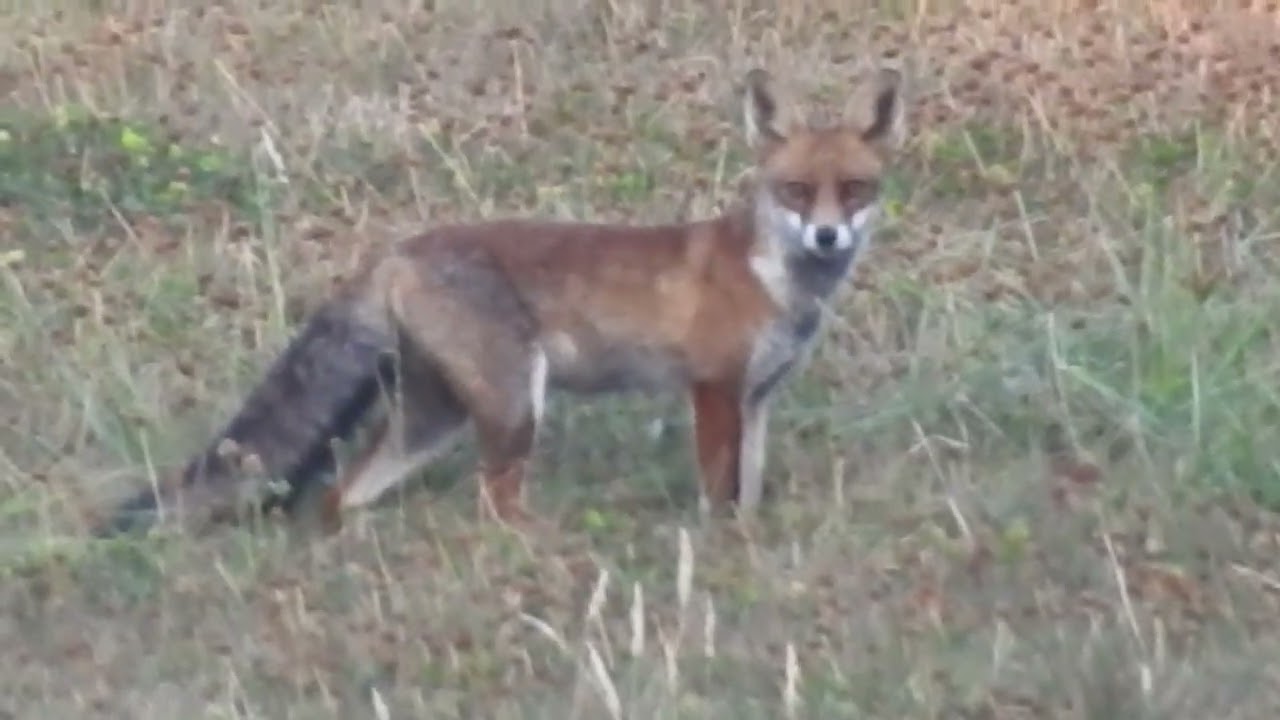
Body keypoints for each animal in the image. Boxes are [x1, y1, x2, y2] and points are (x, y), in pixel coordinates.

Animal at [94, 64, 906, 537]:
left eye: (853, 189)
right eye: (795, 190)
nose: (828, 235)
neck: (776, 281)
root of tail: (398, 250)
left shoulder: (757, 398)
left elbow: (752, 488)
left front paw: (747, 543)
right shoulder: (712, 387)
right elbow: (718, 490)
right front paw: (716, 549)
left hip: (435, 418)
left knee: (343, 494)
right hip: (517, 406)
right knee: (495, 506)